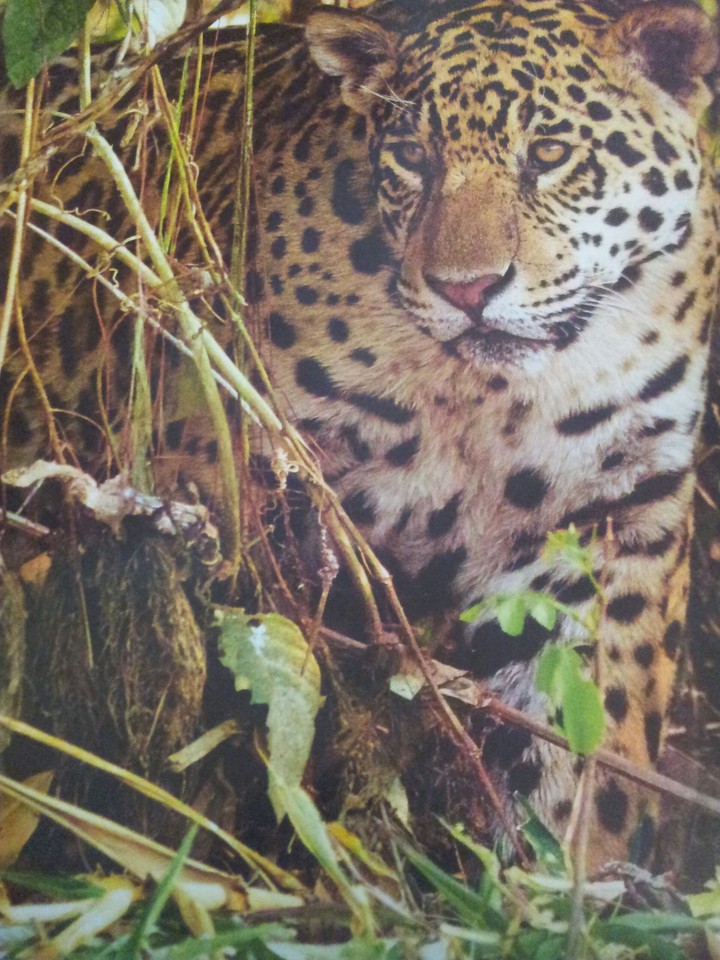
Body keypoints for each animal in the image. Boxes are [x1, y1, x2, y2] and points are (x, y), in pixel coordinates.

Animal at [1, 0, 719, 869]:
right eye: (411, 158)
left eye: (549, 154)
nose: (467, 290)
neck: (489, 401)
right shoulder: (243, 468)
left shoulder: (619, 511)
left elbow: (587, 739)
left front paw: (563, 873)